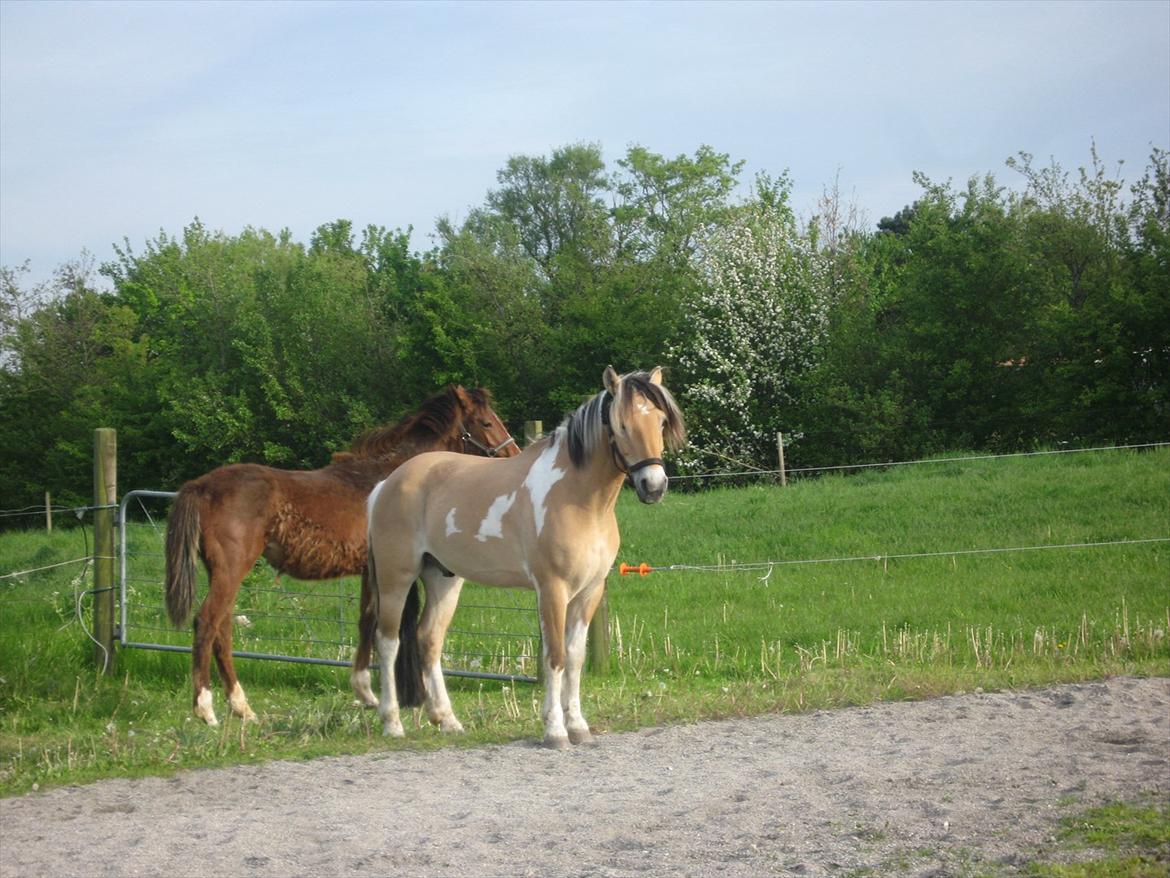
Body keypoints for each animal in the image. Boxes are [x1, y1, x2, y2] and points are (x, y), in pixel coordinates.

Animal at [164, 388, 517, 725]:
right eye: (486, 422)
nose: (512, 454)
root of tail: (200, 486)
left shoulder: (368, 571)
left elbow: (365, 620)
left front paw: (365, 692)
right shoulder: (379, 570)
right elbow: (372, 620)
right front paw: (369, 693)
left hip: (224, 572)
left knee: (222, 629)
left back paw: (242, 708)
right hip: (231, 569)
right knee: (207, 623)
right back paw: (205, 709)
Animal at [355, 367, 683, 744]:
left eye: (660, 421)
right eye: (621, 425)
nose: (653, 487)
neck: (578, 498)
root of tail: (386, 484)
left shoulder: (590, 591)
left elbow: (575, 659)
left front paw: (578, 726)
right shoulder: (552, 590)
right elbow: (554, 656)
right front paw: (555, 730)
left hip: (443, 578)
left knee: (429, 639)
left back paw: (447, 720)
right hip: (396, 578)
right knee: (388, 641)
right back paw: (392, 723)